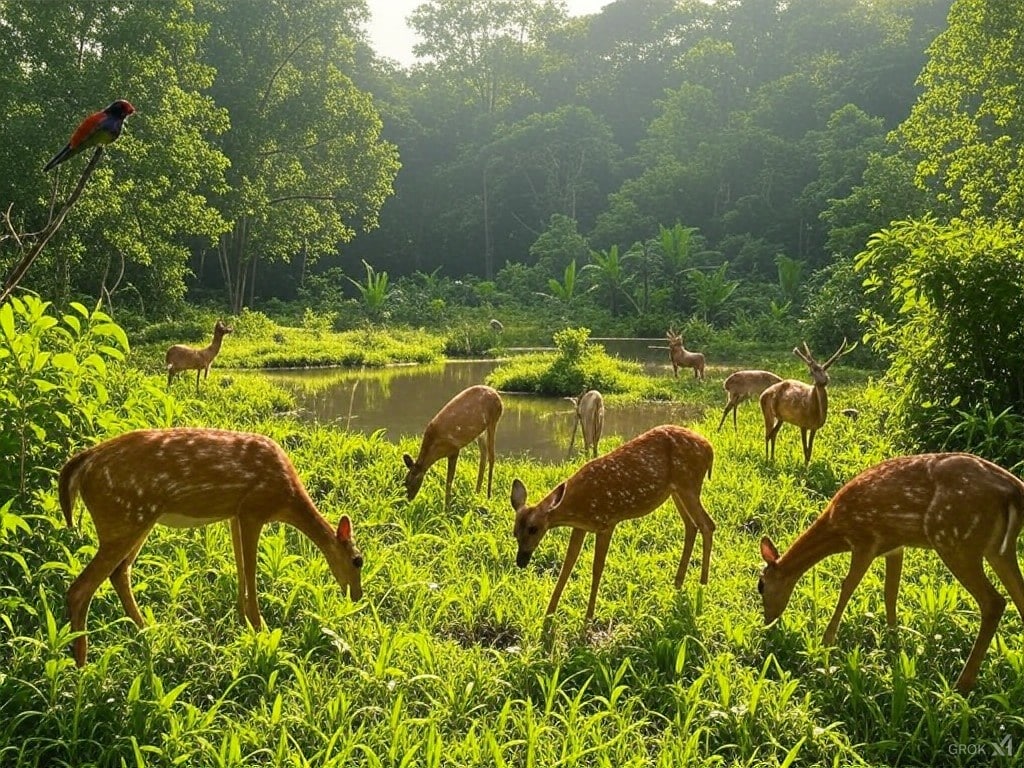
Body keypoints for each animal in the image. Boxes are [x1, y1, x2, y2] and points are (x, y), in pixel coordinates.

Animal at [59, 430, 364, 671]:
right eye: (358, 561)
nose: (357, 596)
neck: (286, 498)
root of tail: (82, 463)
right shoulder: (253, 509)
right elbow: (251, 571)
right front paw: (261, 629)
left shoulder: (234, 514)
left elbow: (240, 567)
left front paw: (242, 623)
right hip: (124, 517)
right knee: (81, 588)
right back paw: (82, 665)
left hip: (137, 521)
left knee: (119, 572)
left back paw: (148, 632)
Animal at [509, 428, 712, 626]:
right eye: (514, 533)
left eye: (534, 529)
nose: (521, 561)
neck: (577, 506)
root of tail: (710, 450)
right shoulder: (580, 527)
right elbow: (567, 565)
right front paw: (548, 615)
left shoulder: (607, 522)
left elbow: (597, 568)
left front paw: (588, 617)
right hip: (675, 491)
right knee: (691, 525)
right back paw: (678, 582)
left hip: (689, 485)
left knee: (708, 524)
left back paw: (702, 583)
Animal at [761, 454, 1024, 696]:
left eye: (760, 585)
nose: (767, 621)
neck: (836, 529)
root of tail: (1015, 491)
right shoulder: (895, 547)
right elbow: (890, 593)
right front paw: (893, 643)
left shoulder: (865, 540)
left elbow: (847, 587)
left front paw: (826, 643)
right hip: (998, 549)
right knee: (1018, 597)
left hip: (955, 539)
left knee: (994, 602)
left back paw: (962, 685)